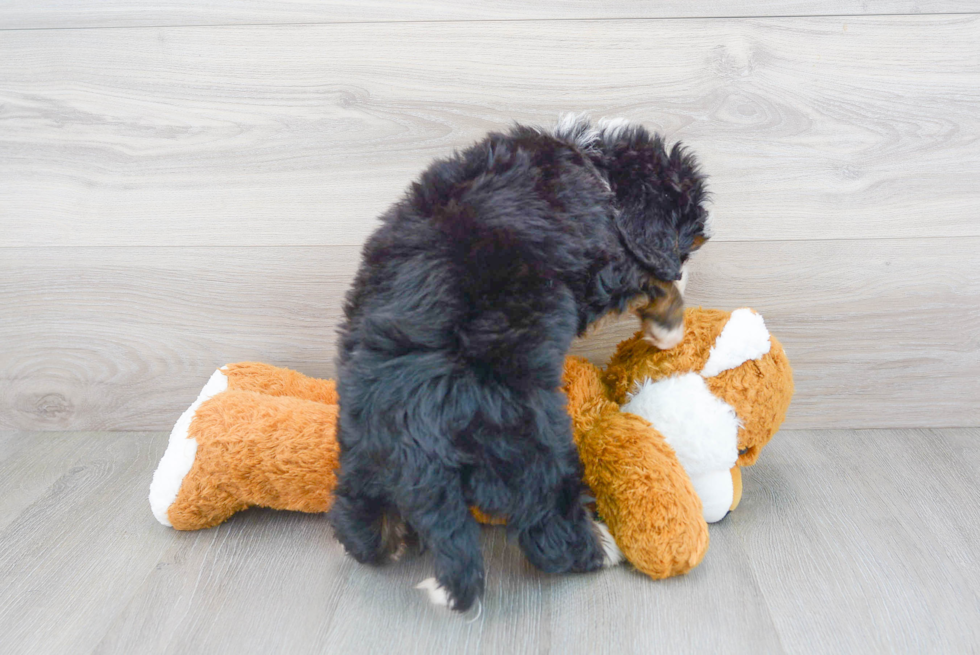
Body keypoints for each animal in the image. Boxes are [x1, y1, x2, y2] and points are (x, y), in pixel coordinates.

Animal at [334, 115, 708, 612]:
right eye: (689, 242)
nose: (687, 273)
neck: (596, 167)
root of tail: (419, 435)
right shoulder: (605, 262)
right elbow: (645, 280)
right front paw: (669, 325)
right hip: (533, 447)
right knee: (546, 526)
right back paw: (600, 547)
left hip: (361, 452)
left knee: (357, 515)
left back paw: (381, 540)